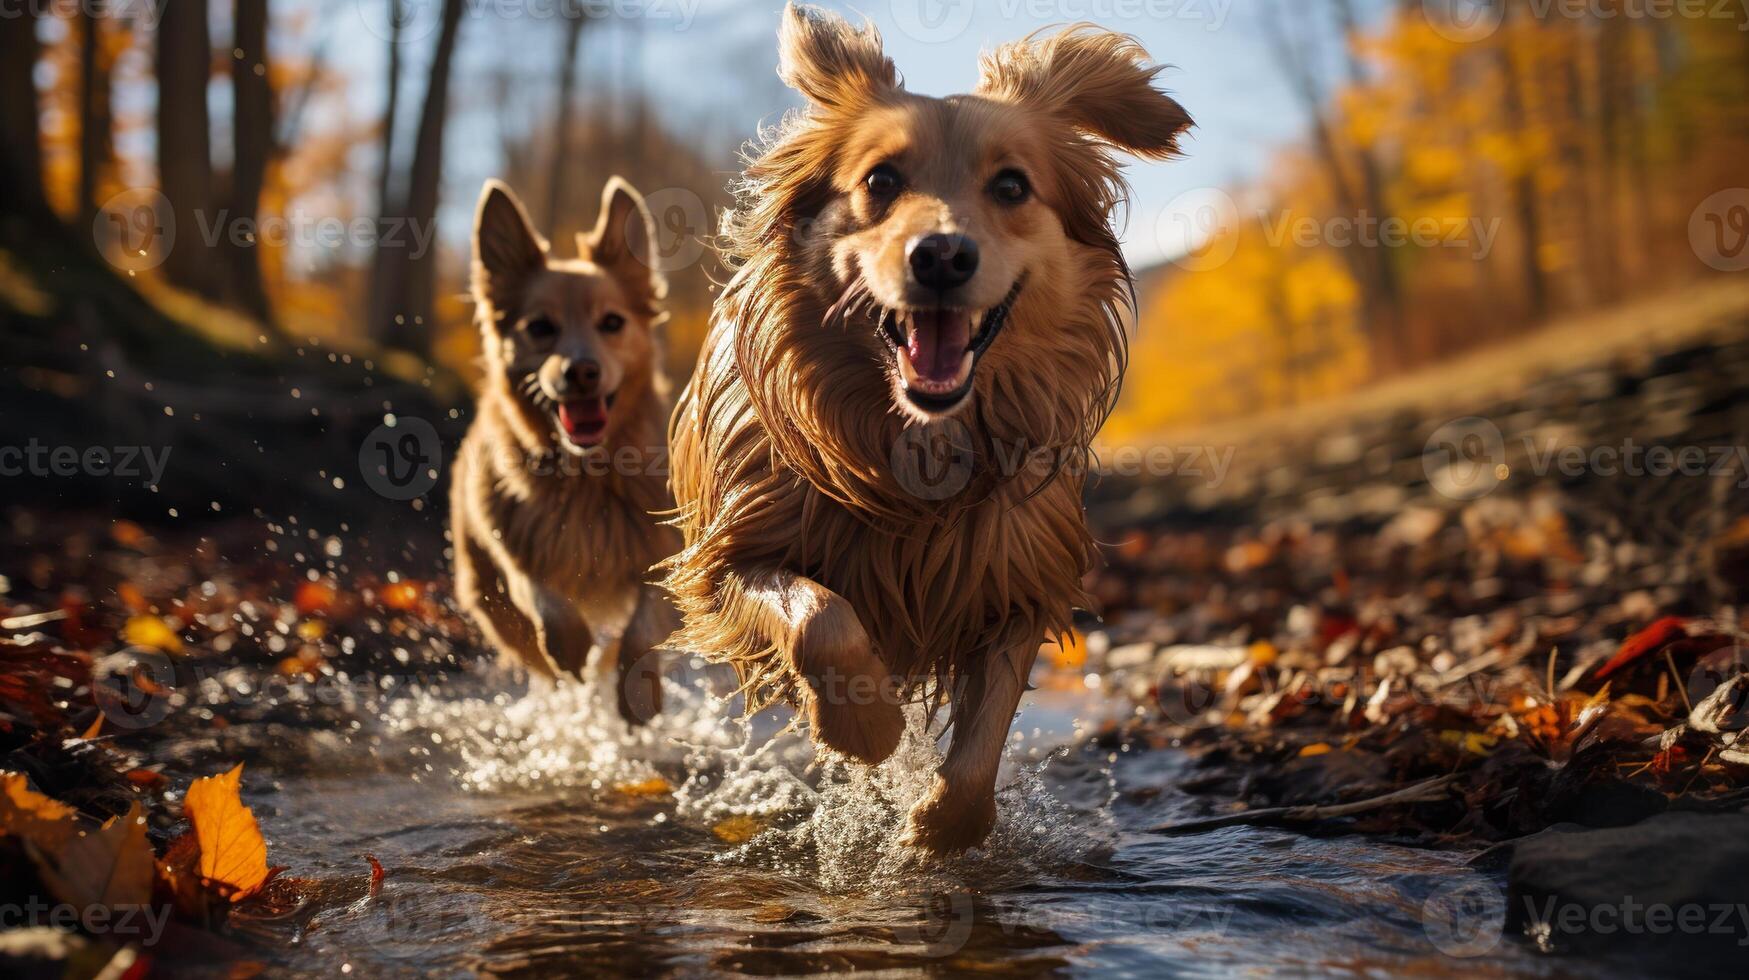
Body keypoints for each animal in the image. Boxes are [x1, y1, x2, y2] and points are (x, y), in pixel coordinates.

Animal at [454, 180, 678, 724]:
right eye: (540, 328)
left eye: (612, 322)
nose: (581, 371)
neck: (587, 477)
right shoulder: (519, 558)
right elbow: (551, 609)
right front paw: (576, 656)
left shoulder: (672, 556)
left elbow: (644, 628)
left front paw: (640, 695)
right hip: (489, 598)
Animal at [664, 5, 1189, 850]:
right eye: (880, 180)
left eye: (1011, 185)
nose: (940, 255)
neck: (914, 449)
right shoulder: (728, 557)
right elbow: (821, 620)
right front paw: (863, 727)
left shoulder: (1016, 578)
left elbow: (981, 749)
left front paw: (941, 828)